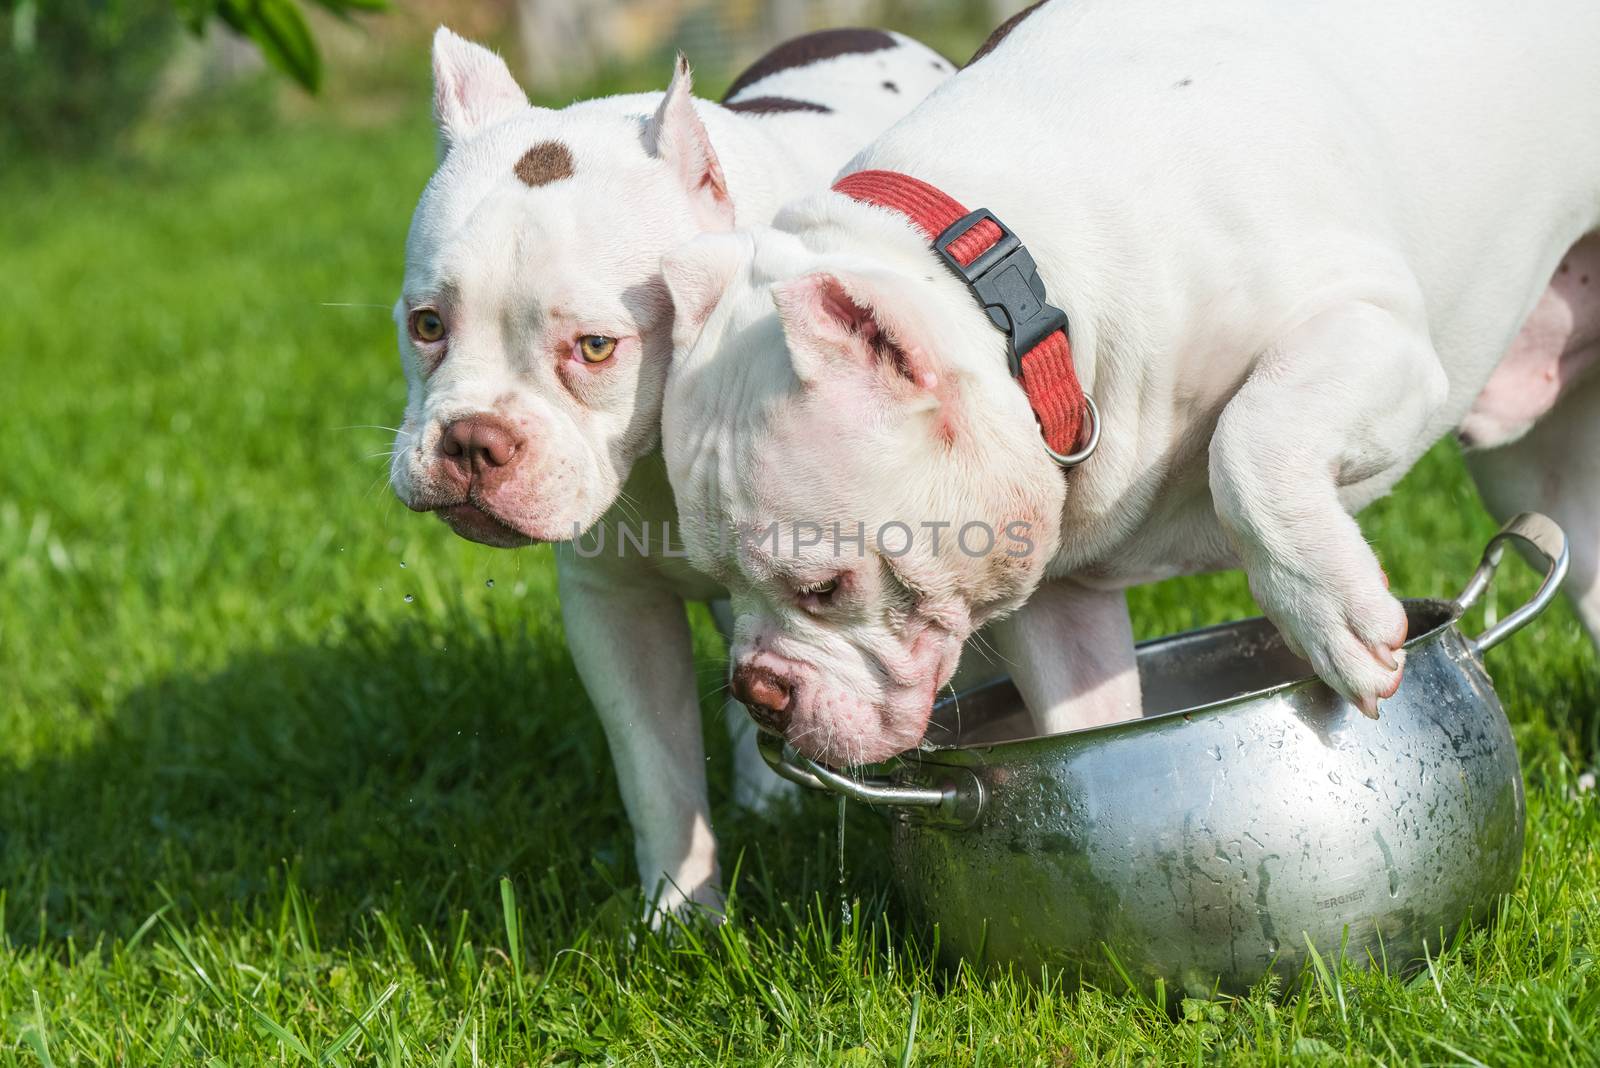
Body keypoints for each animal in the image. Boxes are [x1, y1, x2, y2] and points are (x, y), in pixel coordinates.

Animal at [393, 27, 953, 908]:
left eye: (595, 347)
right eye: (426, 325)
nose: (473, 441)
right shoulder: (614, 609)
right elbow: (656, 771)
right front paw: (682, 918)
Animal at [659, 0, 1600, 770]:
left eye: (823, 588)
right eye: (714, 581)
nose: (759, 692)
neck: (1013, 282)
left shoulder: (1372, 330)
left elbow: (1247, 442)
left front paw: (1327, 612)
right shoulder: (1052, 591)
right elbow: (1085, 719)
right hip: (1540, 472)